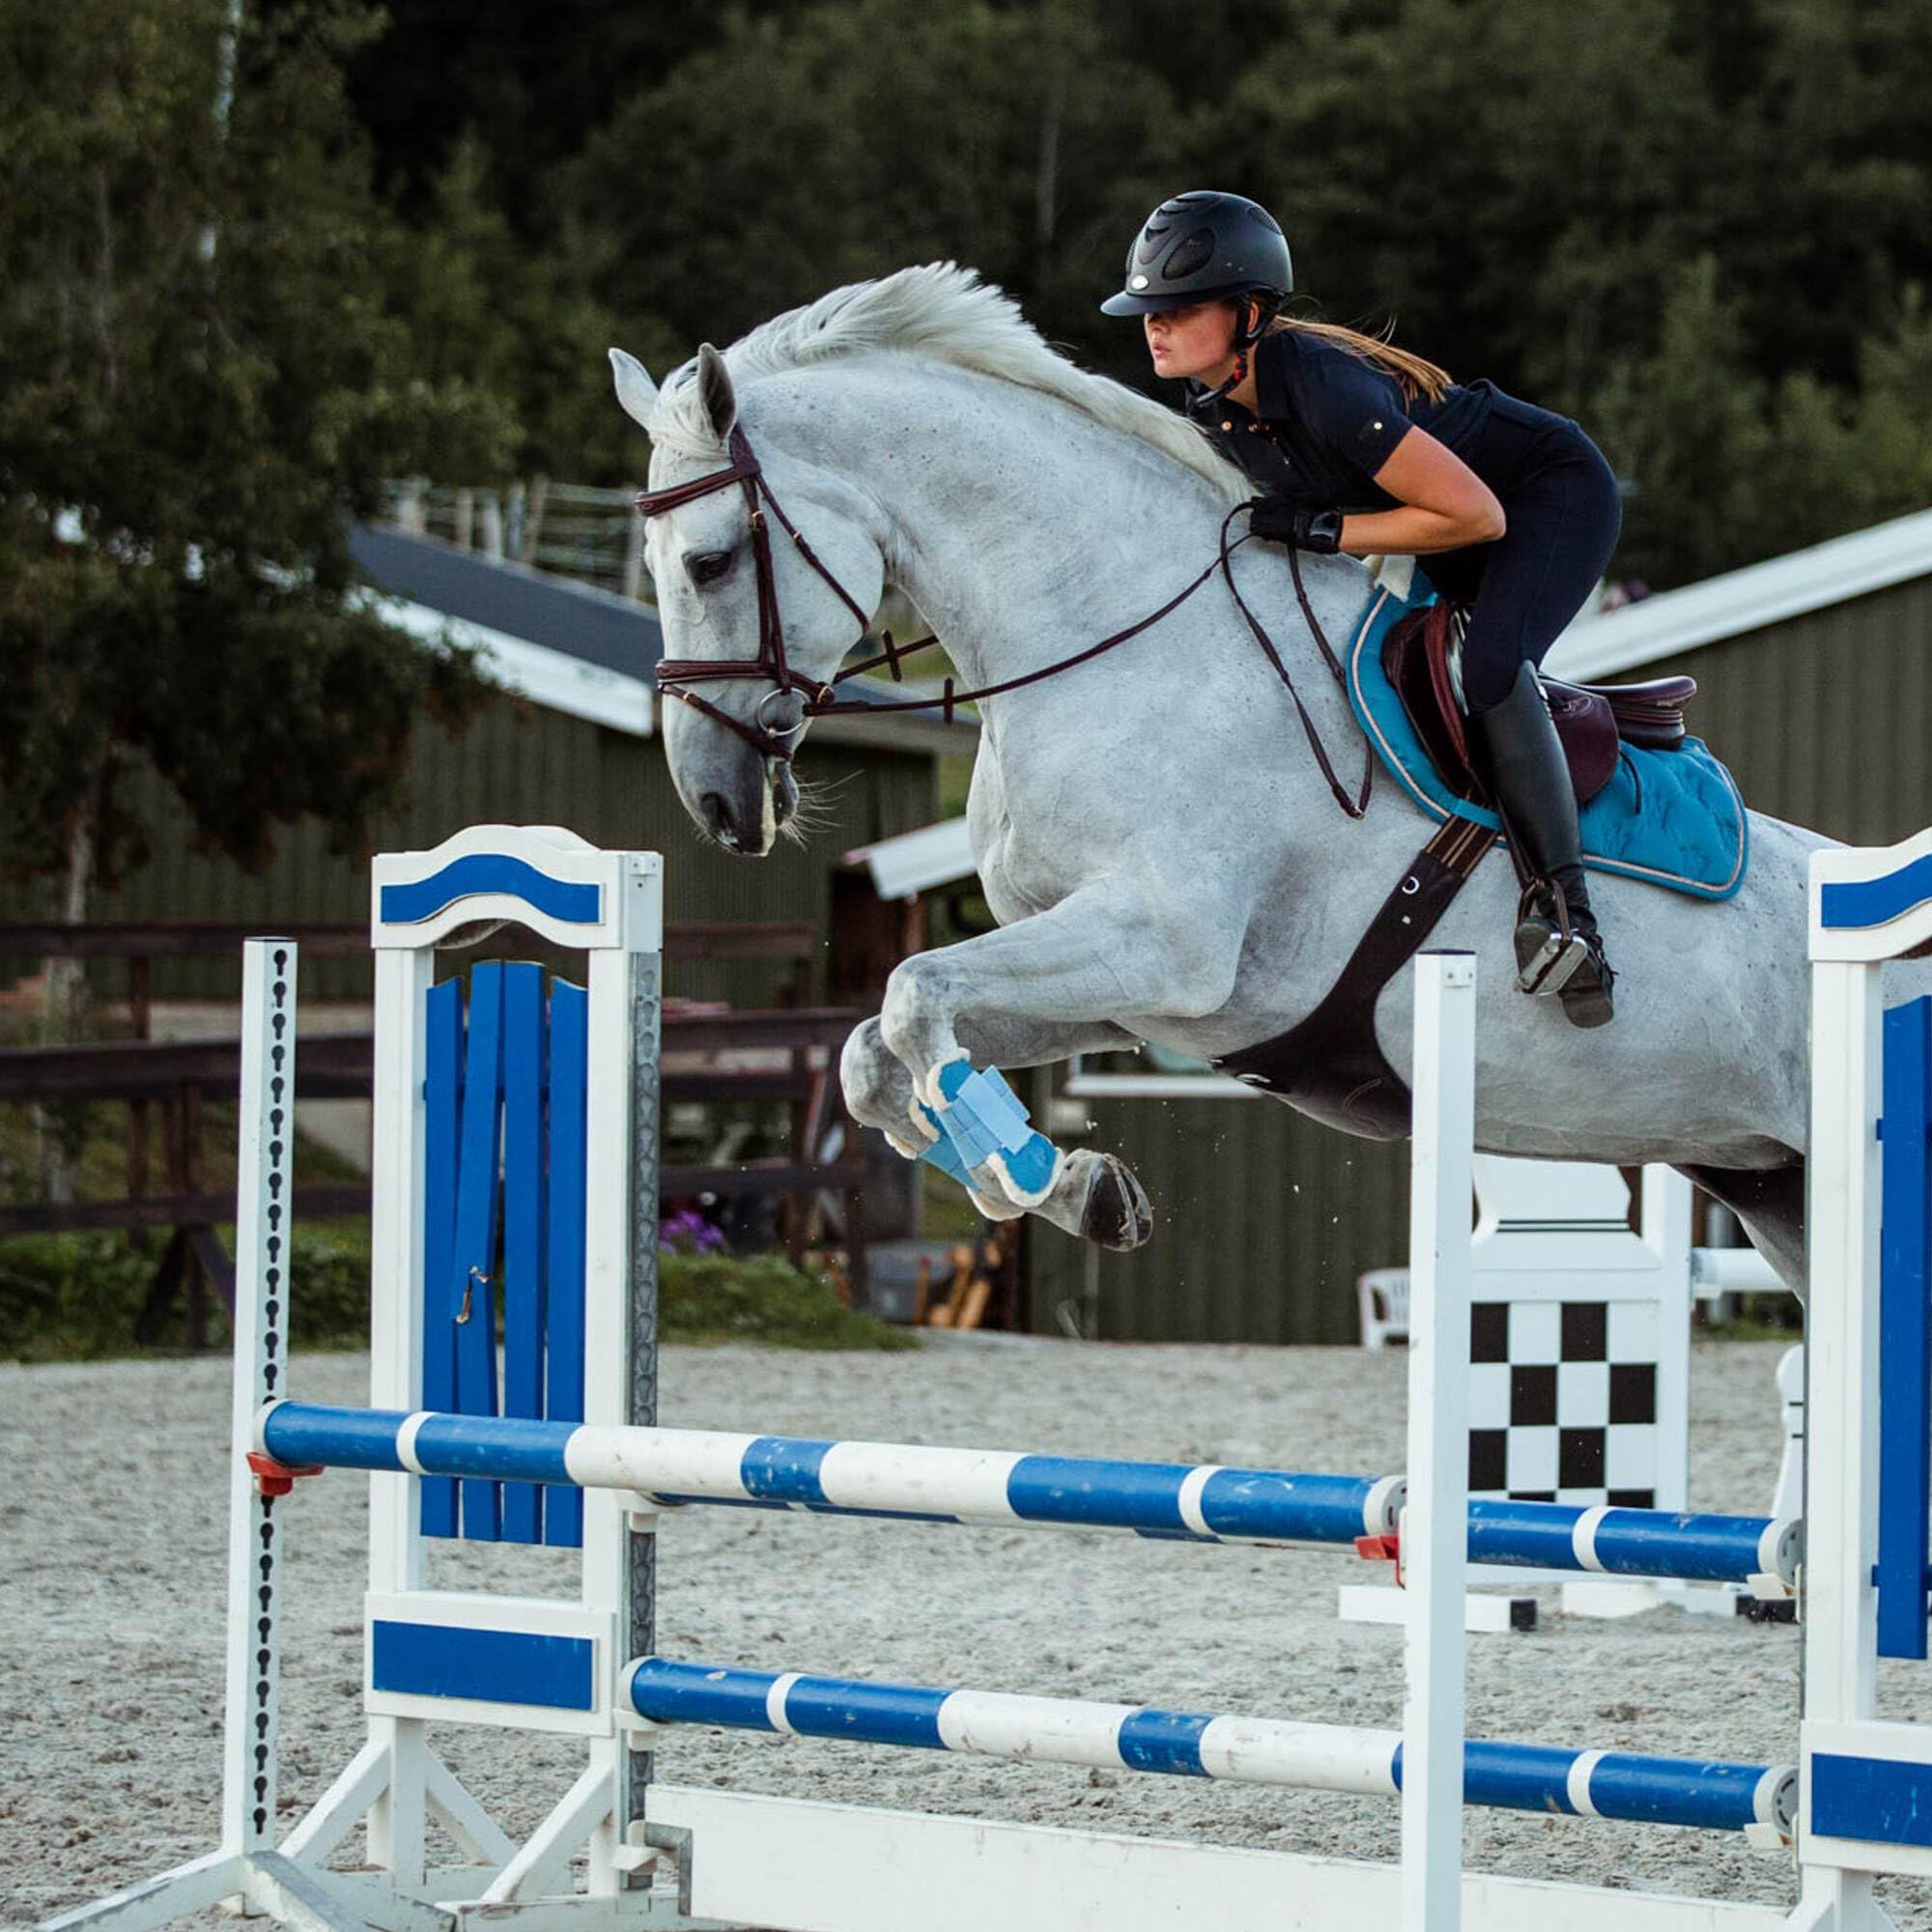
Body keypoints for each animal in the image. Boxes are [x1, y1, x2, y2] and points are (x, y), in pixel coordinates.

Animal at [610, 263, 1862, 1296]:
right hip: (1770, 1185)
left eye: (709, 562)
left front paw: (1054, 1176)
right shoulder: (1135, 990)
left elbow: (913, 993)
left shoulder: (1164, 938)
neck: (1117, 634)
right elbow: (879, 1053)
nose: (714, 802)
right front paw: (1068, 1187)